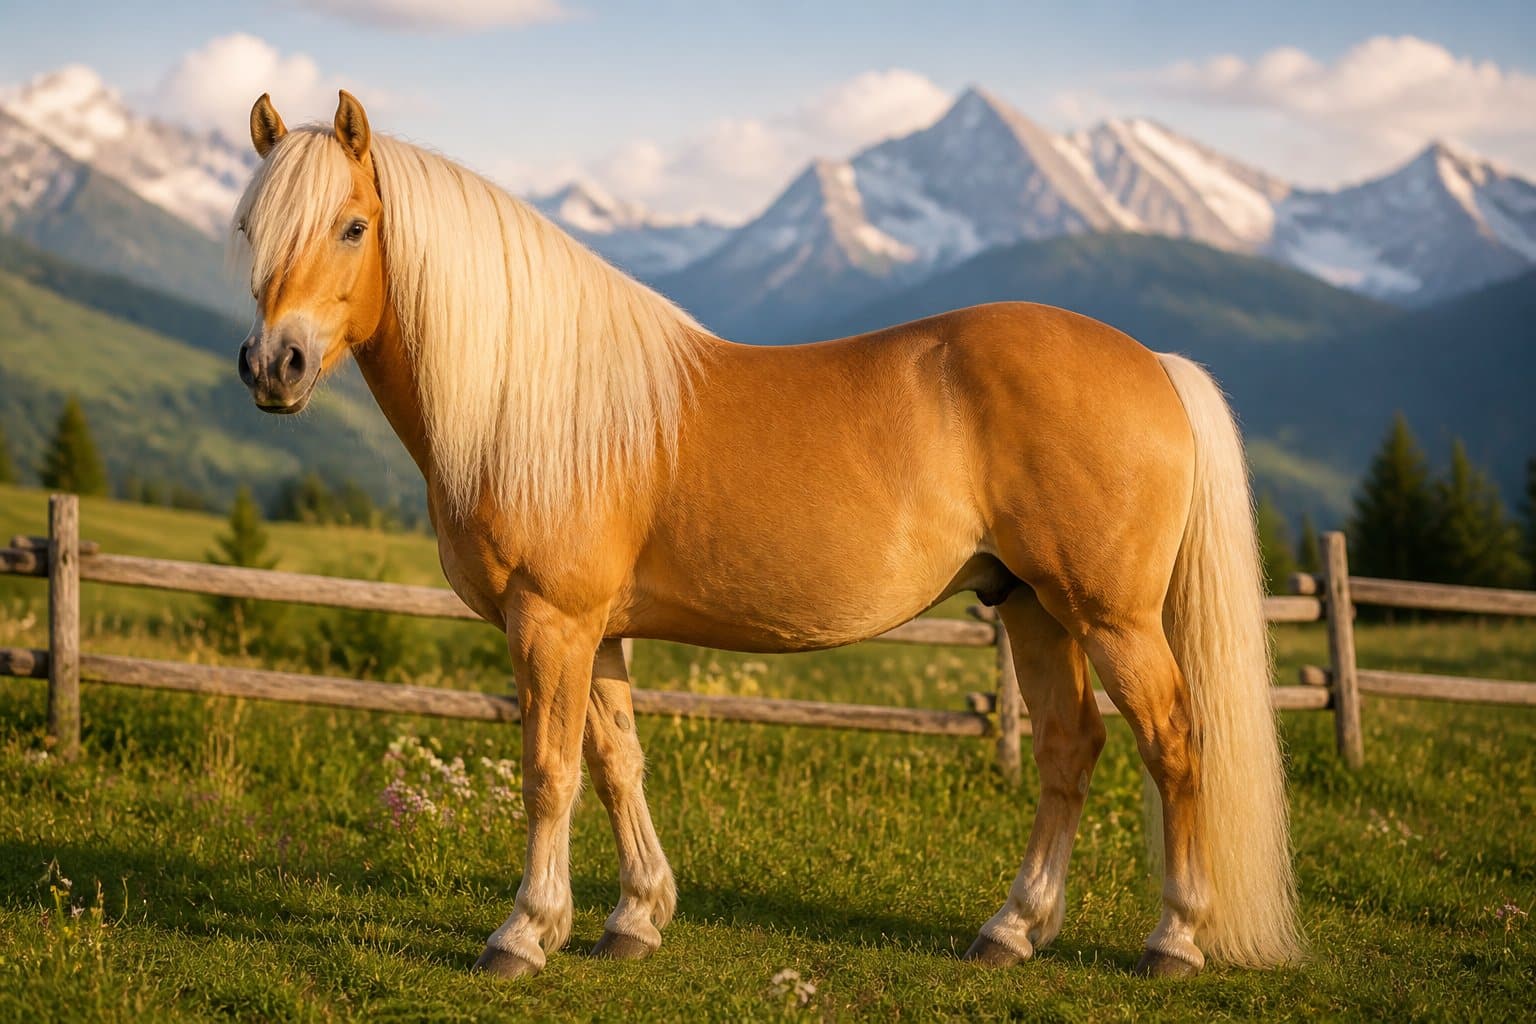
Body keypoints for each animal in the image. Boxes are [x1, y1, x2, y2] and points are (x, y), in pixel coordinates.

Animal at [232, 90, 1299, 980]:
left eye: (353, 226)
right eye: (250, 228)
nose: (273, 366)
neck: (531, 398)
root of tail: (1153, 362)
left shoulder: (550, 621)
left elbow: (549, 772)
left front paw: (525, 934)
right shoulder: (598, 631)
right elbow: (617, 764)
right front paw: (635, 918)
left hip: (1113, 617)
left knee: (1174, 743)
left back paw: (1175, 940)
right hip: (1032, 604)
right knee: (1070, 750)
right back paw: (1012, 930)